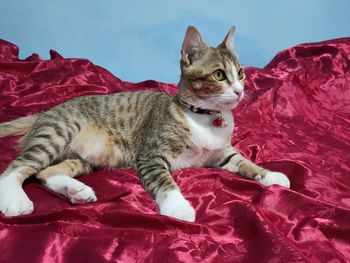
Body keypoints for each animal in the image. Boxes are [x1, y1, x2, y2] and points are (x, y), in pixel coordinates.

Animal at [0, 25, 290, 223]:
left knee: (45, 173)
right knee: (17, 168)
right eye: (219, 75)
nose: (240, 91)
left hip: (87, 158)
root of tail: (44, 112)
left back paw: (76, 190)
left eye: (240, 73)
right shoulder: (151, 155)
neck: (204, 116)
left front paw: (270, 175)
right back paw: (15, 199)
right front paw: (178, 207)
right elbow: (165, 181)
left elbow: (243, 161)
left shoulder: (220, 154)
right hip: (57, 133)